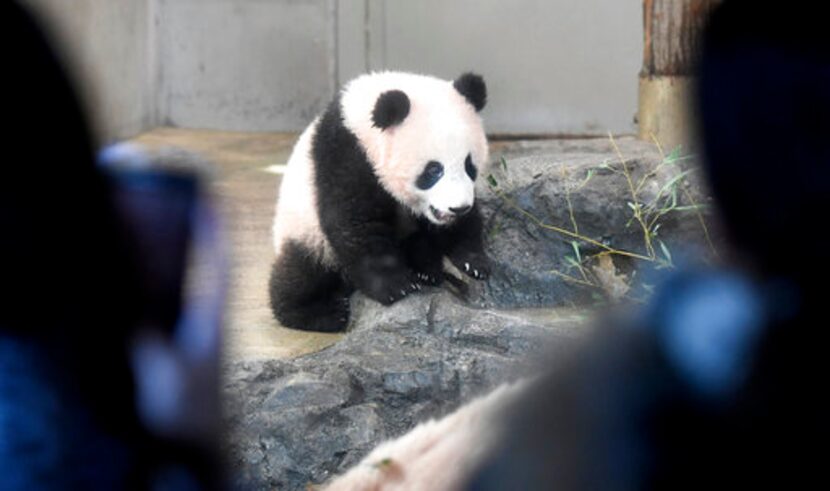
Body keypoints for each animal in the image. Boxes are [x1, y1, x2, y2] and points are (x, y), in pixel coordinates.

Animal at [272, 71, 490, 332]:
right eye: (433, 170)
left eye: (470, 166)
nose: (458, 208)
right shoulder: (345, 157)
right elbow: (355, 223)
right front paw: (395, 286)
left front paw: (473, 262)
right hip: (306, 232)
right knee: (302, 272)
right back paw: (321, 312)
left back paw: (427, 270)